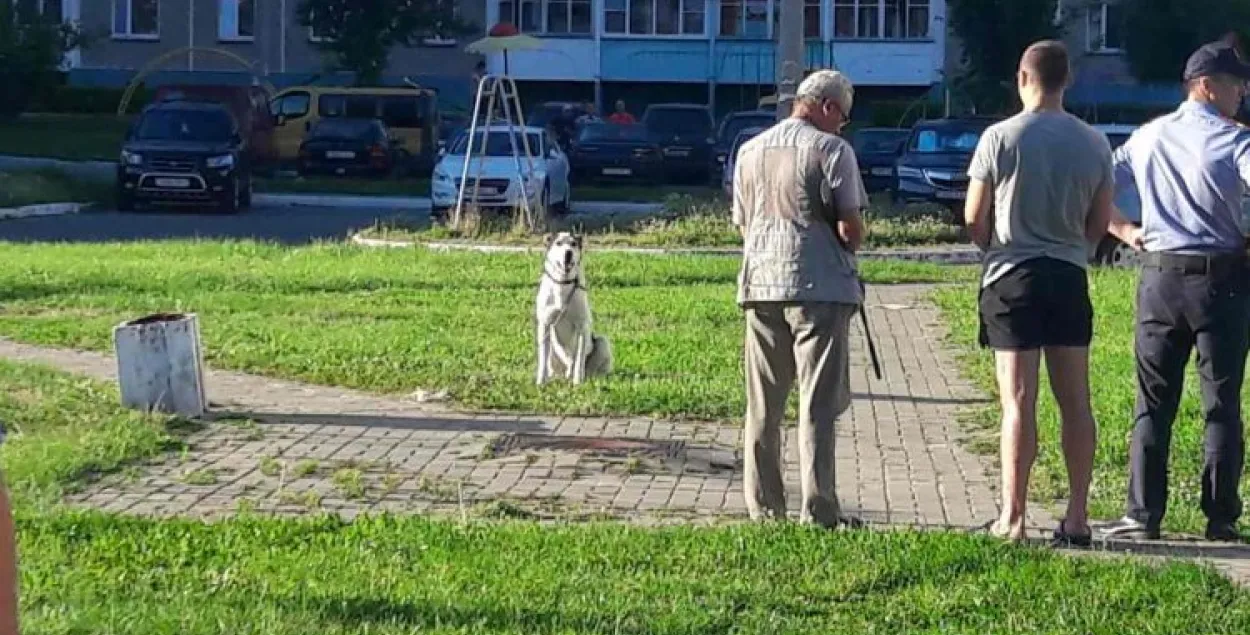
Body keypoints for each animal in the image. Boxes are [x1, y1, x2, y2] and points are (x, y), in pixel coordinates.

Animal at [535, 232, 612, 385]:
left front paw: (577, 382)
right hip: (554, 351)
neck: (562, 284)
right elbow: (542, 358)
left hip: (602, 343)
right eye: (558, 243)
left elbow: (579, 359)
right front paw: (541, 382)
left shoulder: (582, 327)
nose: (568, 253)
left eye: (573, 244)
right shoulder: (545, 325)